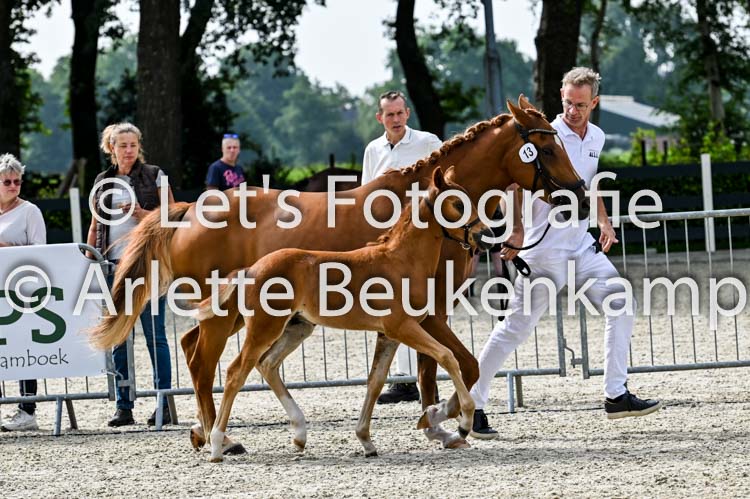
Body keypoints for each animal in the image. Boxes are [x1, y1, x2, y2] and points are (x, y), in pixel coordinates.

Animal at [193, 166, 493, 461]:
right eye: (457, 203)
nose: (485, 235)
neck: (401, 261)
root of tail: (250, 269)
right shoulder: (401, 327)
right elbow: (447, 356)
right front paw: (464, 422)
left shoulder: (388, 335)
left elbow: (375, 381)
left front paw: (366, 440)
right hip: (264, 328)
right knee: (235, 373)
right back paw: (218, 445)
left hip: (297, 327)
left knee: (267, 365)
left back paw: (299, 434)